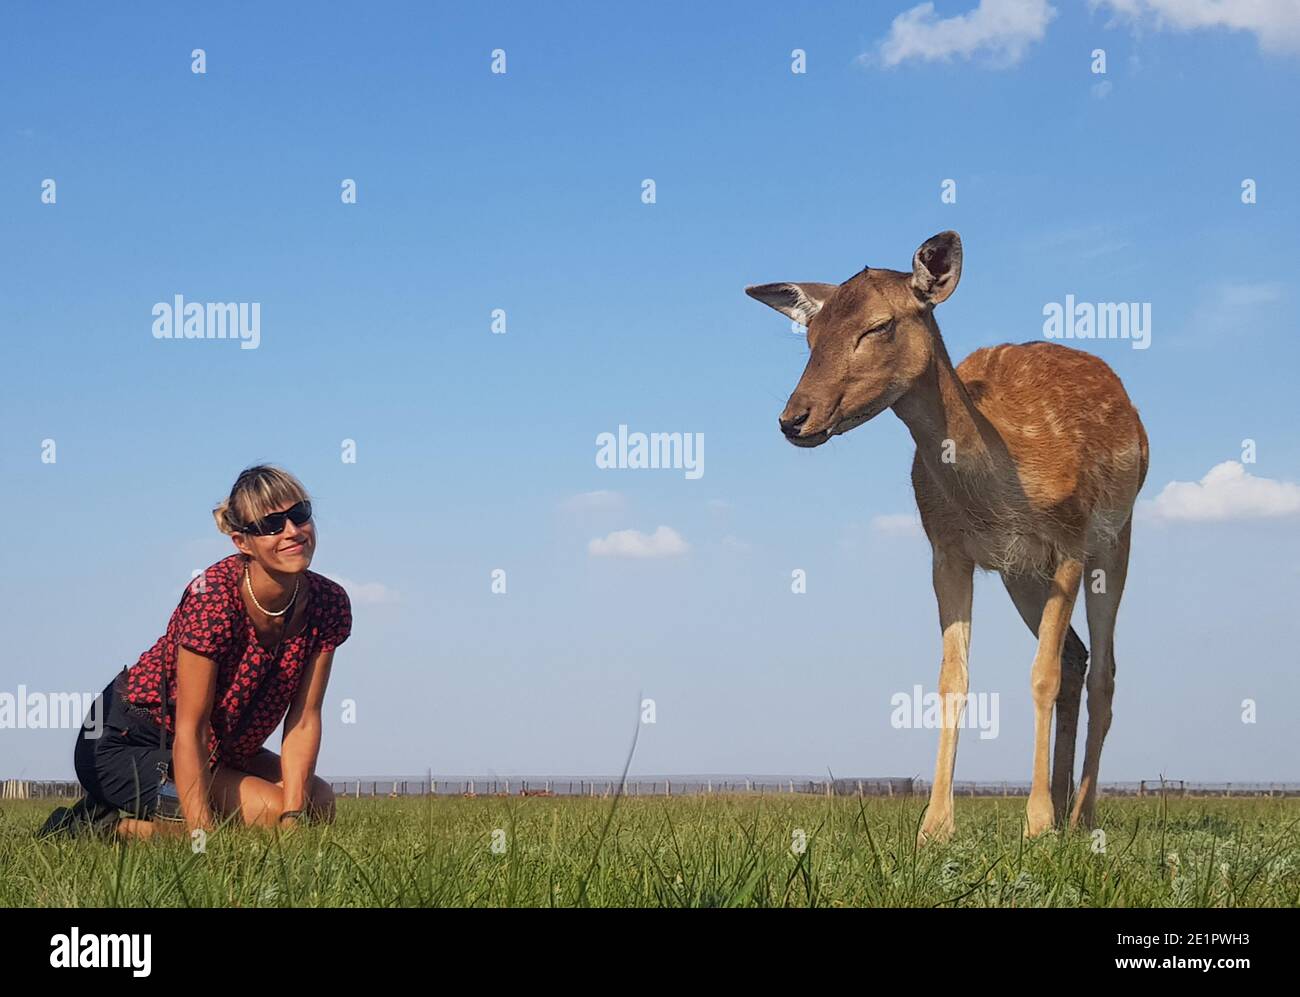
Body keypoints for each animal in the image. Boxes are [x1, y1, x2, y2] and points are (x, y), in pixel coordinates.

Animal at [743, 231, 1149, 842]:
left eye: (879, 325)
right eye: (811, 335)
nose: (794, 419)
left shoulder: (1071, 542)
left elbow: (1041, 675)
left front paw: (1034, 824)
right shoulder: (949, 553)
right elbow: (952, 679)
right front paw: (934, 826)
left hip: (1116, 539)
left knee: (1102, 672)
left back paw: (1080, 816)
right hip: (1021, 575)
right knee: (1077, 659)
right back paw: (1060, 805)